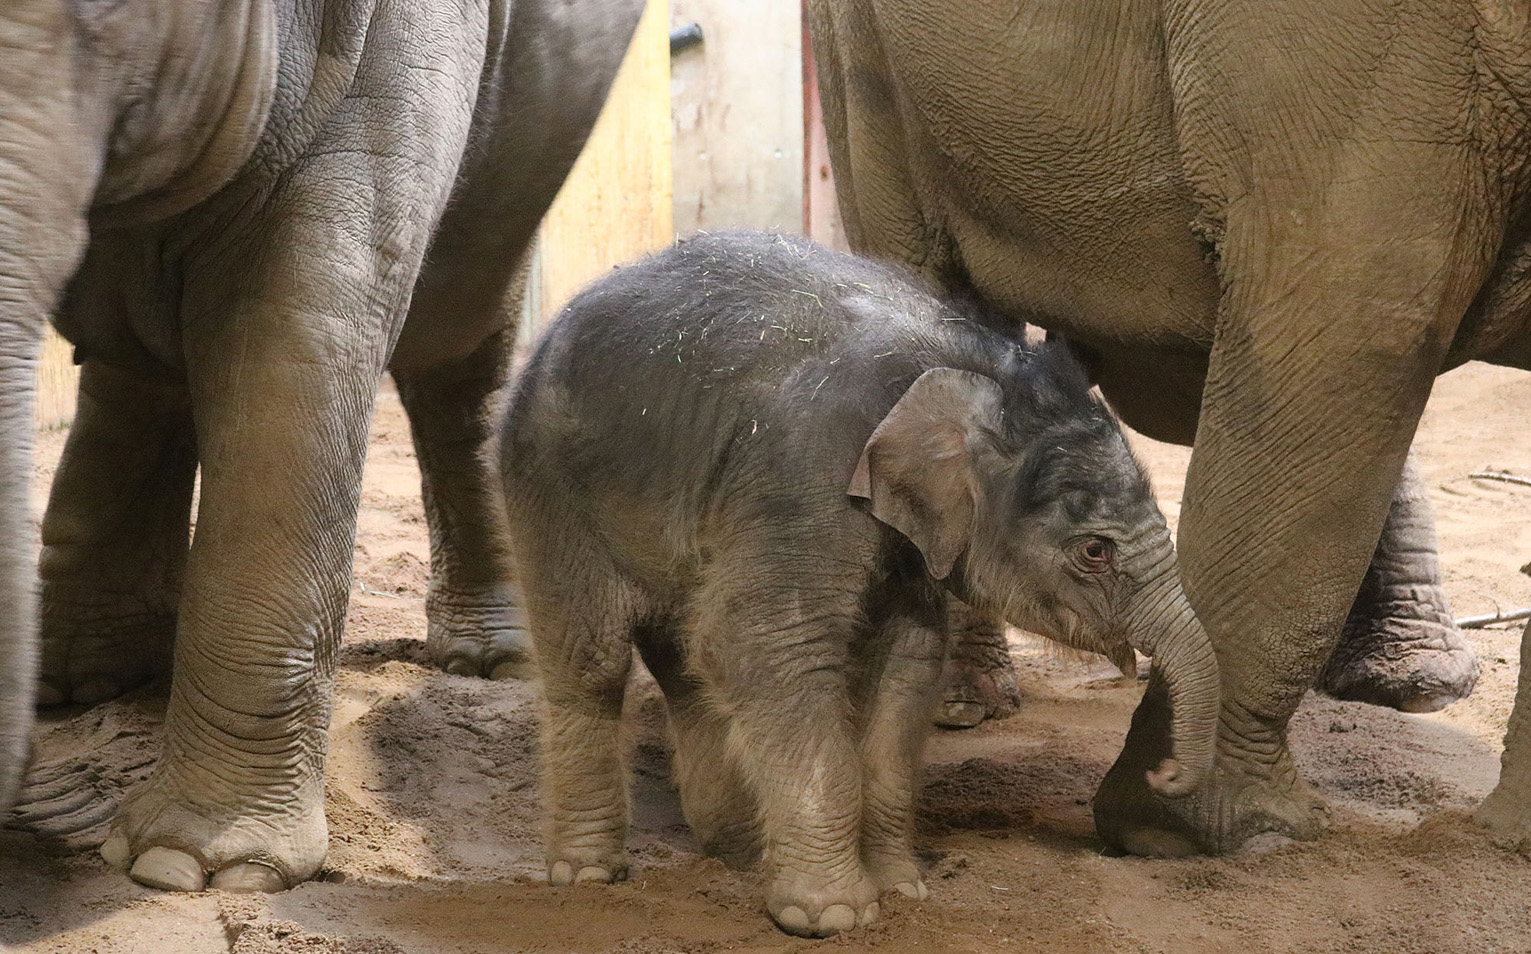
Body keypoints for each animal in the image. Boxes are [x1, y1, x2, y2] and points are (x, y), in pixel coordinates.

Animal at [0, 0, 644, 891]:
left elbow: (300, 319)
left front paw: (194, 869)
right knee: (138, 363)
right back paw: (84, 677)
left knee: (461, 332)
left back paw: (493, 663)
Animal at [501, 230, 1220, 937]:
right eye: (1094, 550)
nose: (1166, 774)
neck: (953, 366)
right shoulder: (806, 472)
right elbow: (767, 644)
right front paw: (831, 916)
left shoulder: (909, 533)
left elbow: (908, 659)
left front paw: (902, 888)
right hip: (547, 483)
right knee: (593, 657)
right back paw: (588, 873)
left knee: (686, 661)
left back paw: (739, 853)